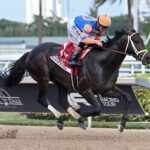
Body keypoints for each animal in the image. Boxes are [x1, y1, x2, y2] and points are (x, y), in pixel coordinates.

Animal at [2, 29, 150, 131]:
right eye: (136, 41)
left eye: (142, 40)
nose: (147, 58)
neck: (102, 63)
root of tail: (31, 52)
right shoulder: (84, 90)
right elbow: (97, 109)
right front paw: (80, 113)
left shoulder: (107, 89)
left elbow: (128, 98)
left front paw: (122, 124)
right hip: (43, 78)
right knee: (42, 99)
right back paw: (64, 117)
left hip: (60, 82)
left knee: (62, 101)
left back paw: (74, 115)